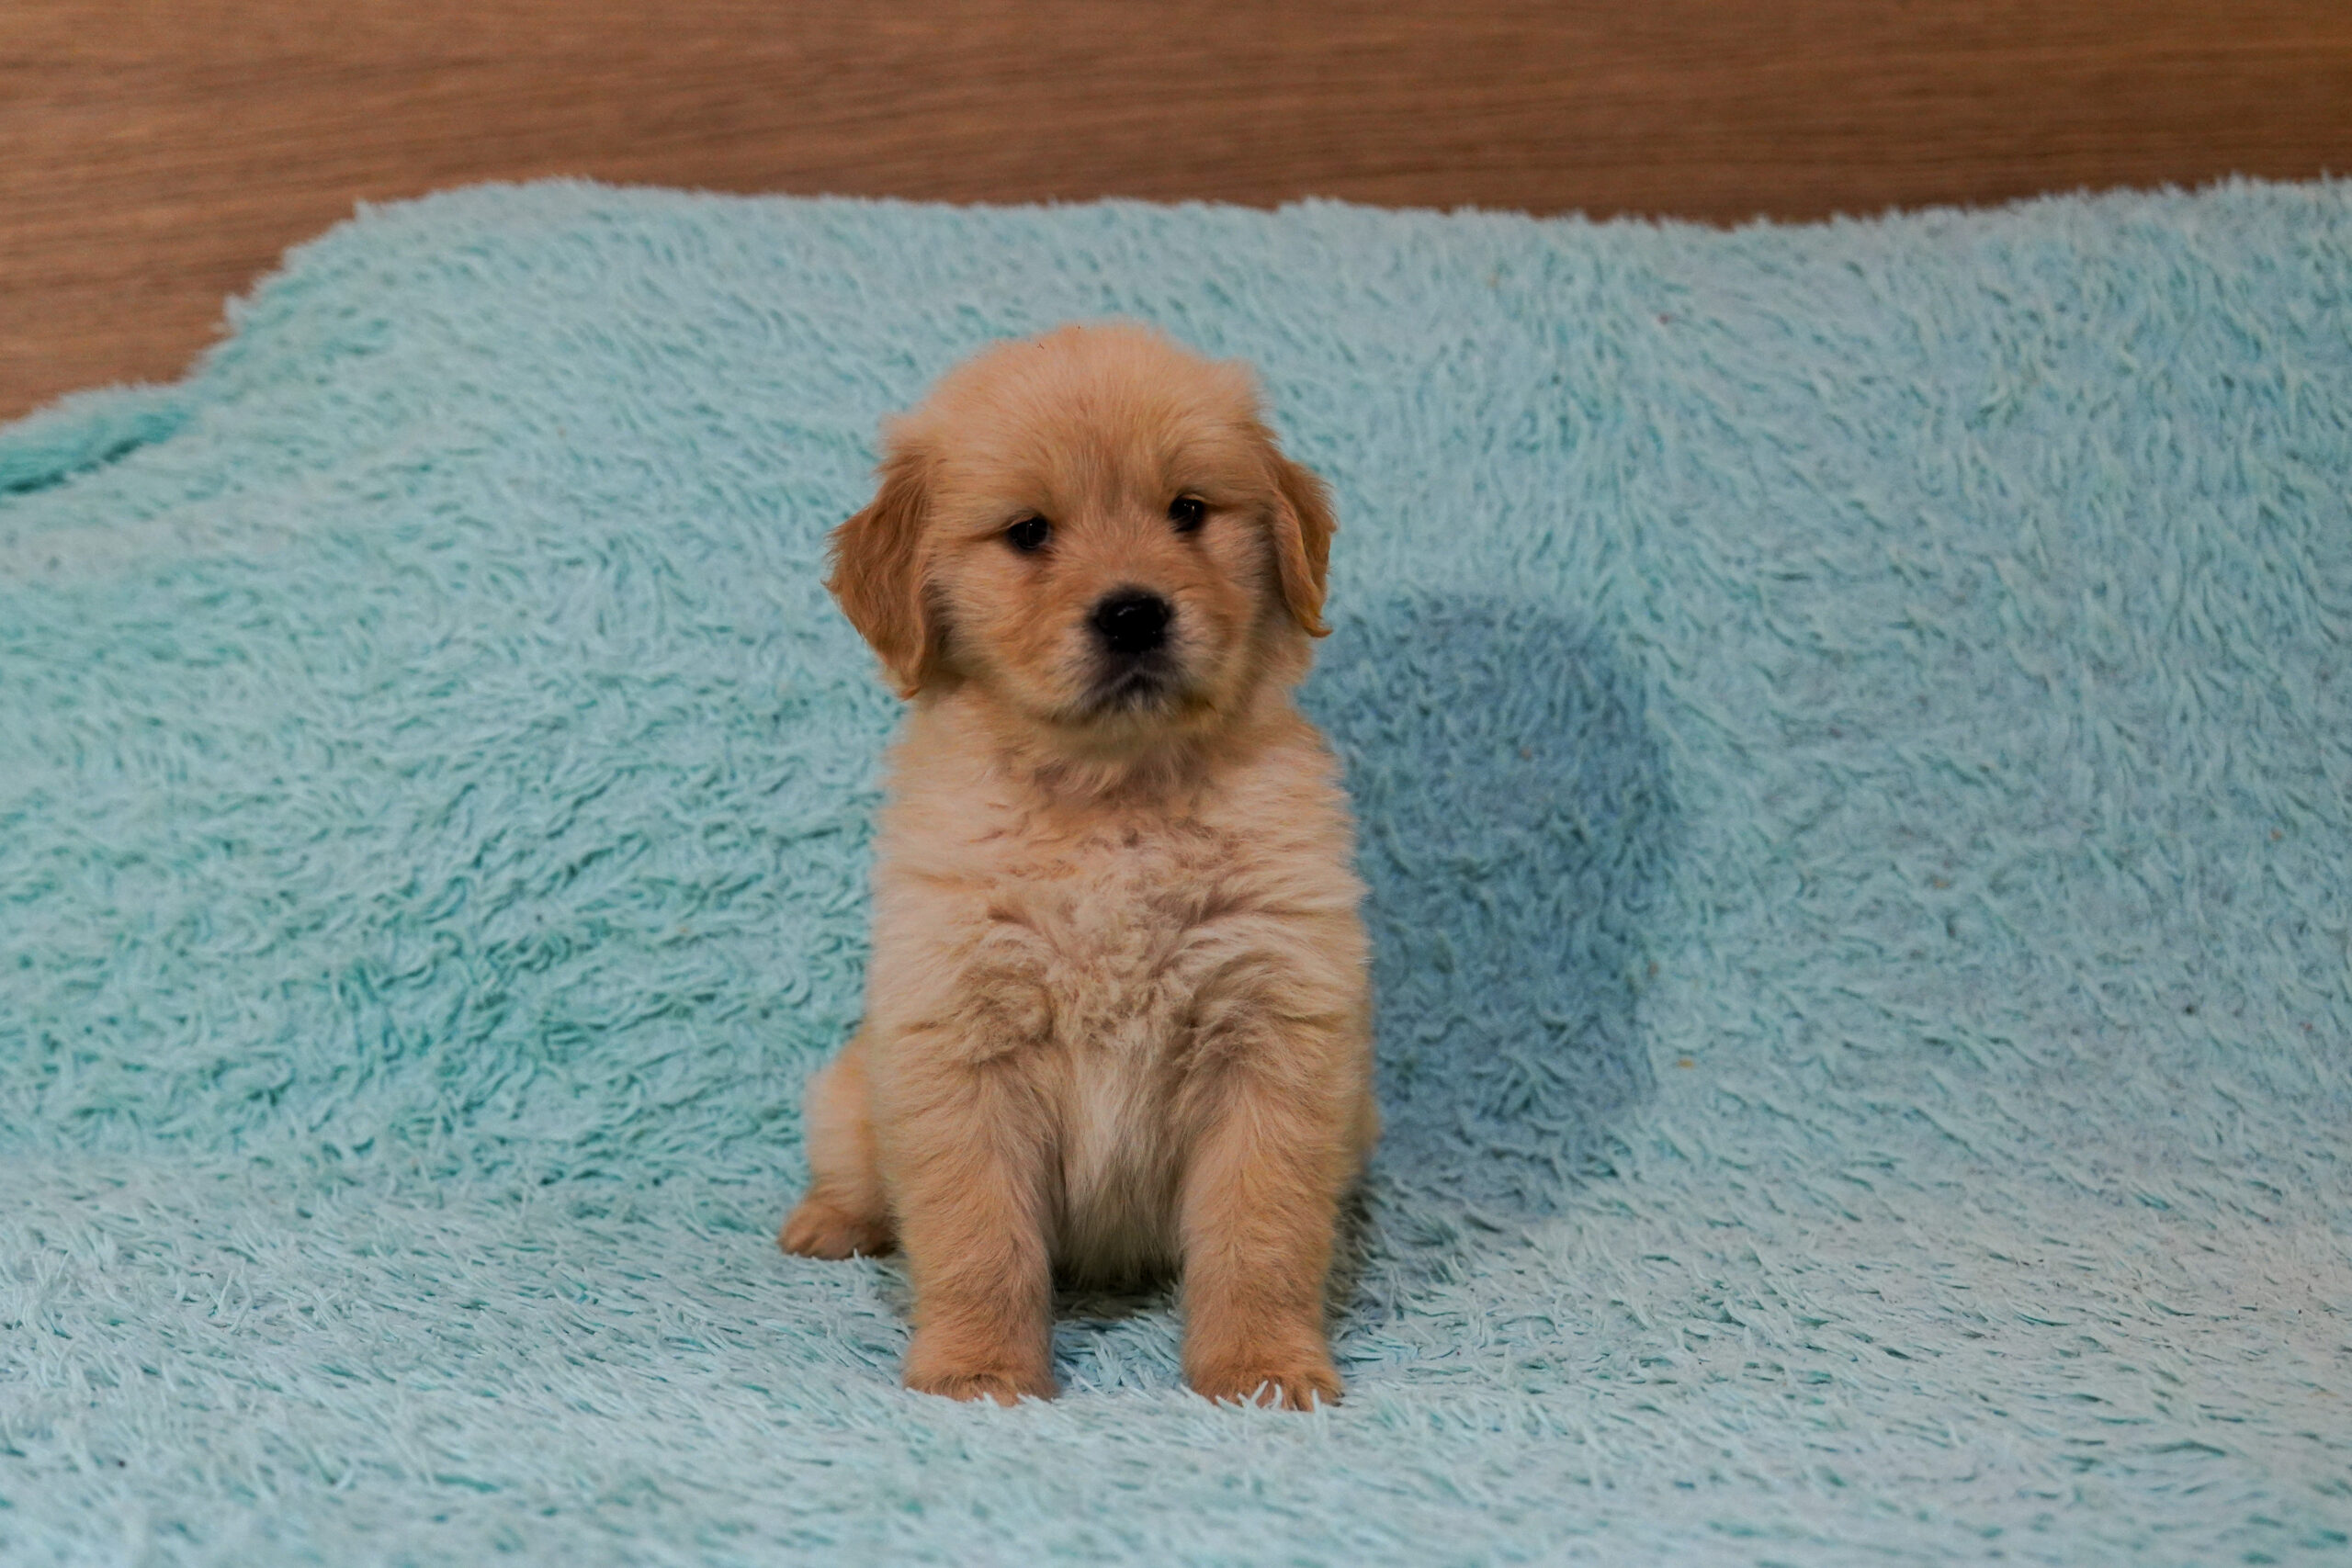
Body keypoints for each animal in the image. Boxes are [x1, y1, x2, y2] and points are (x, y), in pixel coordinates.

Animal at [780, 322, 1376, 1409]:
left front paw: (1262, 1367)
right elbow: (978, 1236)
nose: (1133, 614)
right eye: (1028, 533)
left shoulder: (1275, 1037)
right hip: (850, 1092)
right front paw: (979, 1370)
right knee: (855, 1171)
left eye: (1188, 511)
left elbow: (1260, 1232)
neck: (1113, 800)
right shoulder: (959, 1040)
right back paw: (830, 1222)